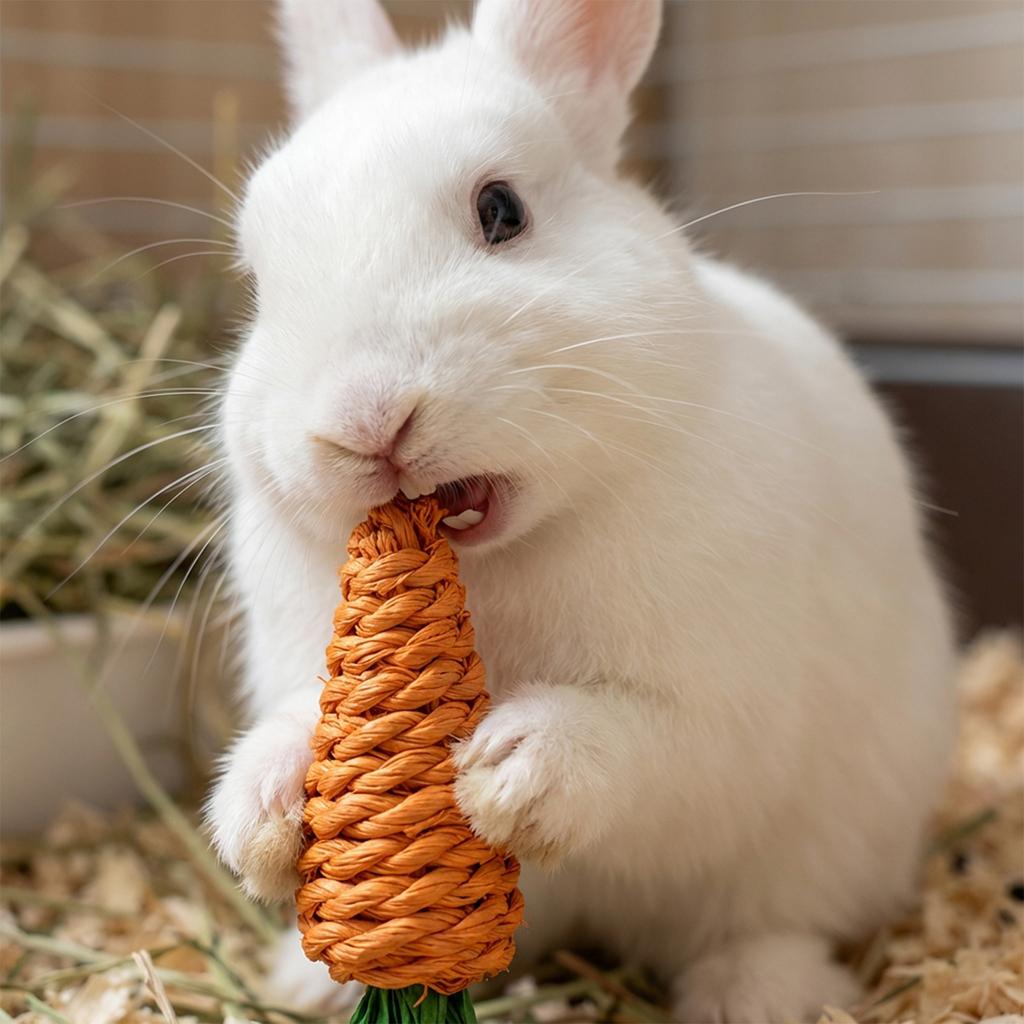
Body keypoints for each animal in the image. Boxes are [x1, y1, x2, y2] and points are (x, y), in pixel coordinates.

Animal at [205, 1, 956, 1019]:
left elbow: (641, 744)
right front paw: (257, 821)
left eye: (502, 210)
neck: (497, 564)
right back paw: (305, 984)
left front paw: (508, 773)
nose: (365, 420)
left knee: (774, 929)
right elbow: (294, 727)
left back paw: (752, 994)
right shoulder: (297, 668)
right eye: (257, 281)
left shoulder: (720, 713)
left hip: (822, 855)